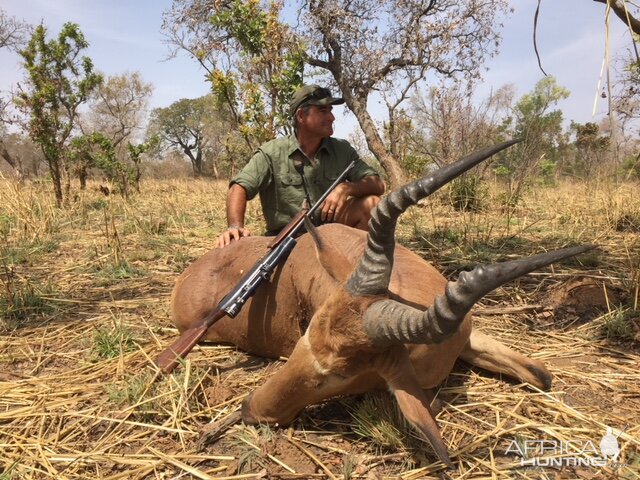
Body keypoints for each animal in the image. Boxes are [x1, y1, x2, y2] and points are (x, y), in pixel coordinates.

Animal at [169, 141, 592, 466]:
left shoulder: (468, 338)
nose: (250, 409)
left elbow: (541, 376)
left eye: (342, 375)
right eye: (303, 335)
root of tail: (186, 278)